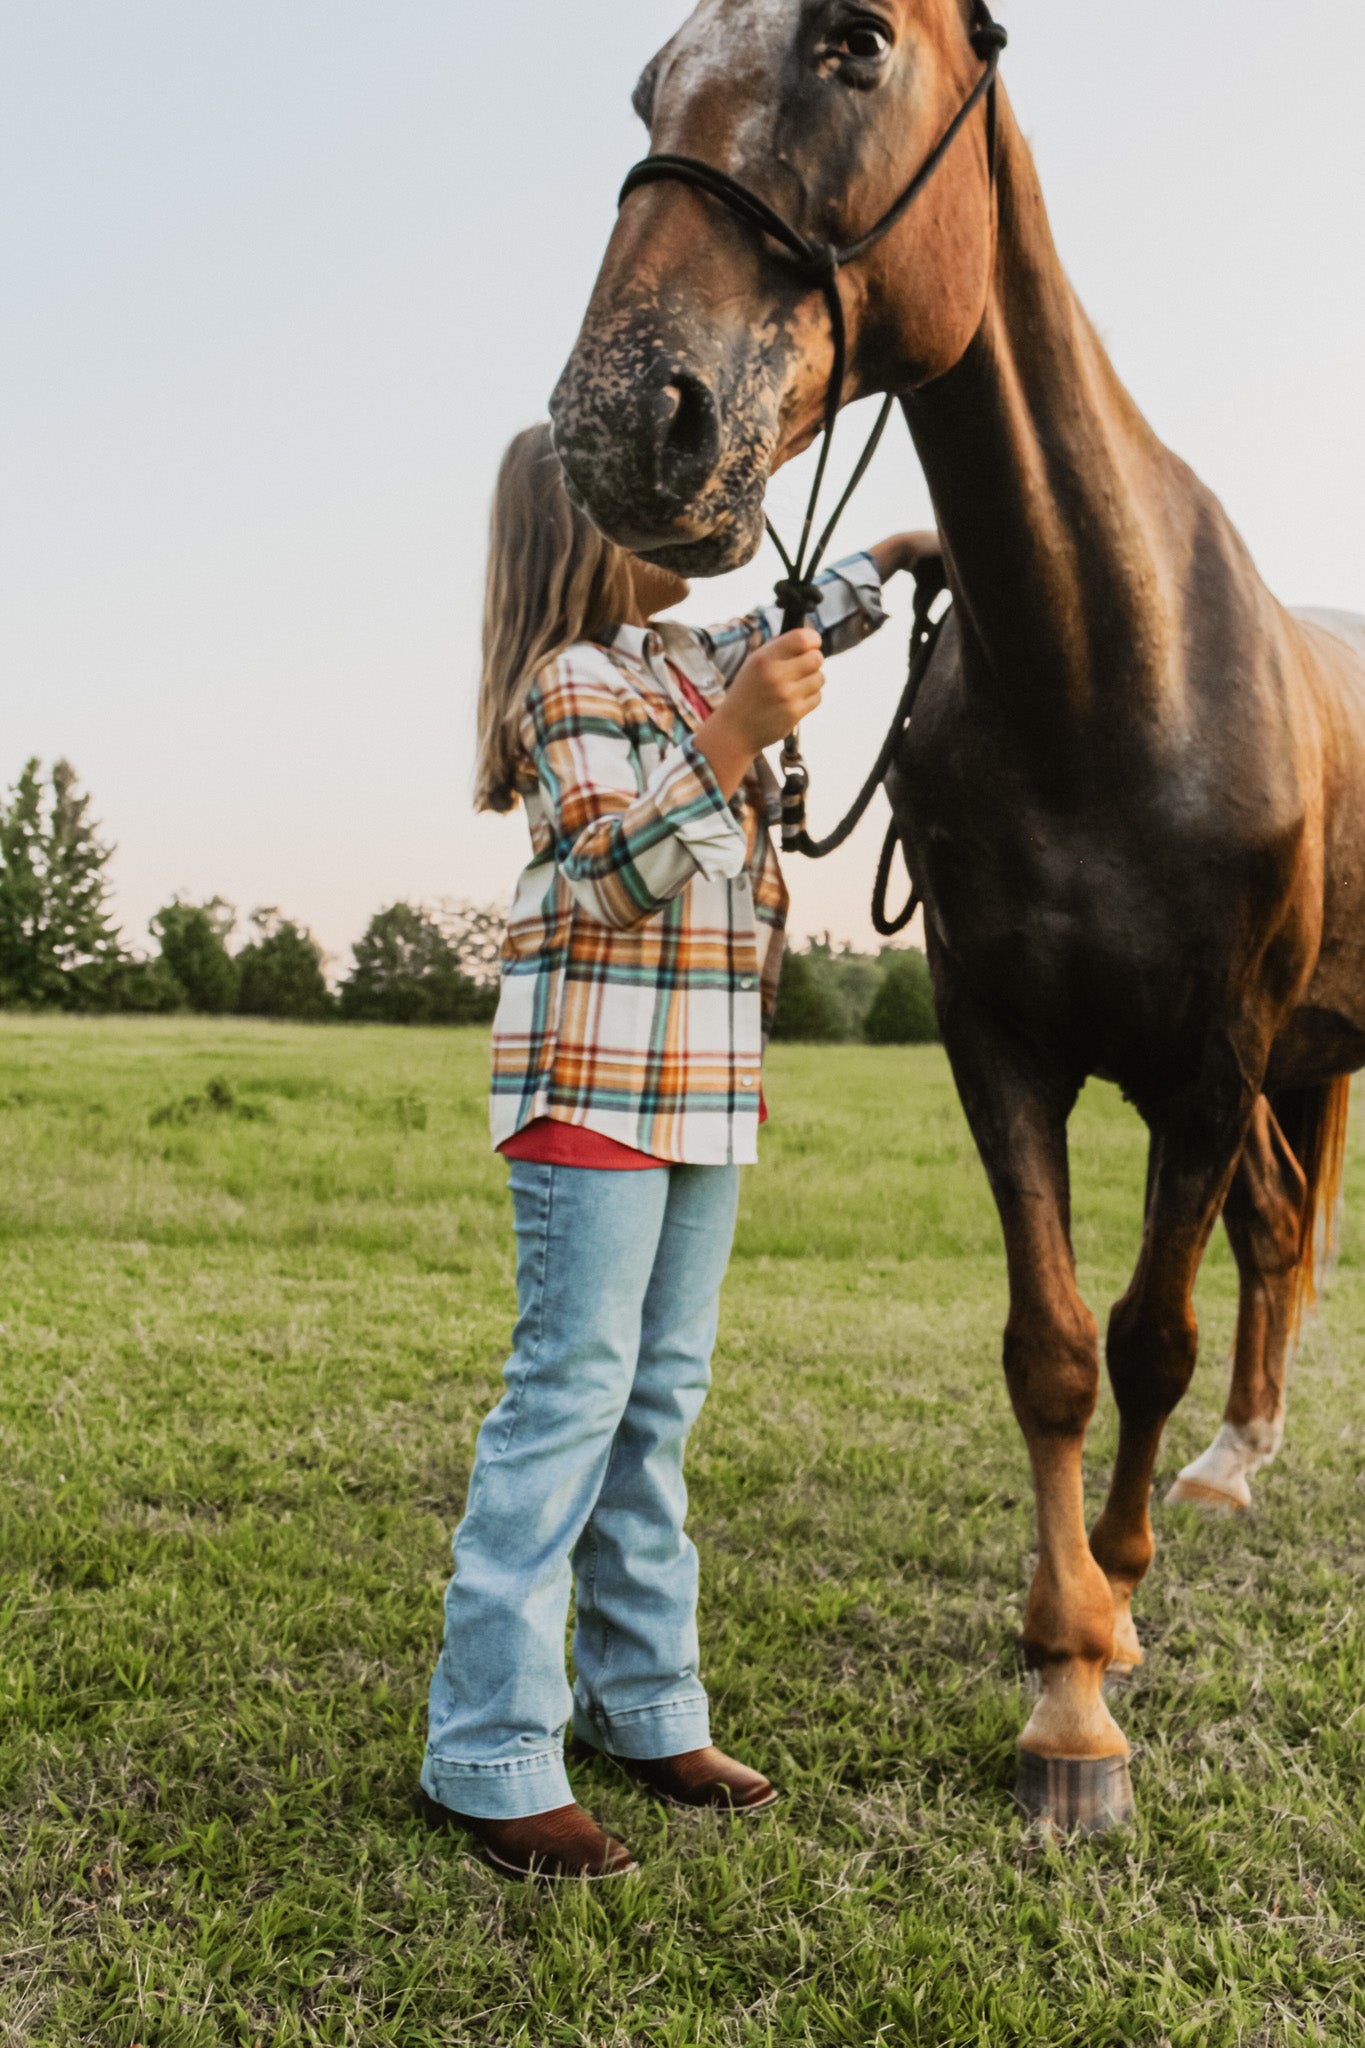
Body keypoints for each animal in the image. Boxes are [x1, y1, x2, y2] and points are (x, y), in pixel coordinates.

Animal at [548, 0, 1365, 1826]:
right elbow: (1054, 1347)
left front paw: (1109, 1618)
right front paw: (1071, 1674)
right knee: (1279, 1233)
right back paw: (1231, 1468)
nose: (626, 417)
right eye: (643, 85)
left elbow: (1147, 1335)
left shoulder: (1205, 1065)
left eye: (854, 41)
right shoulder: (1004, 1046)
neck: (1107, 668)